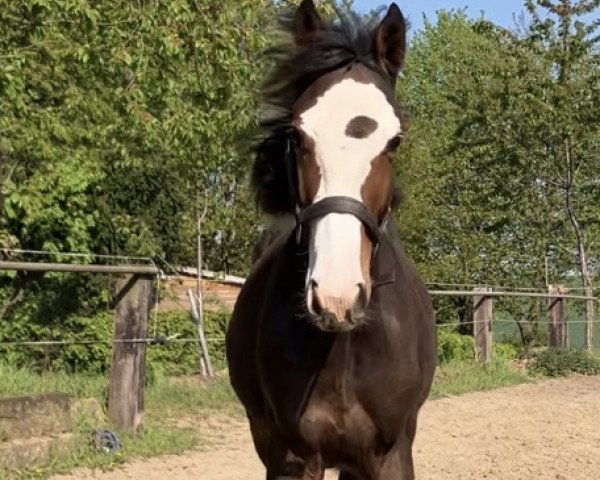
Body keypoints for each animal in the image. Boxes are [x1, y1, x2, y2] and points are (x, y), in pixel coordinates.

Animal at [225, 1, 436, 478]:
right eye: (298, 134)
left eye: (394, 140)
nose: (336, 297)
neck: (342, 348)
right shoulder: (292, 457)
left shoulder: (391, 453)